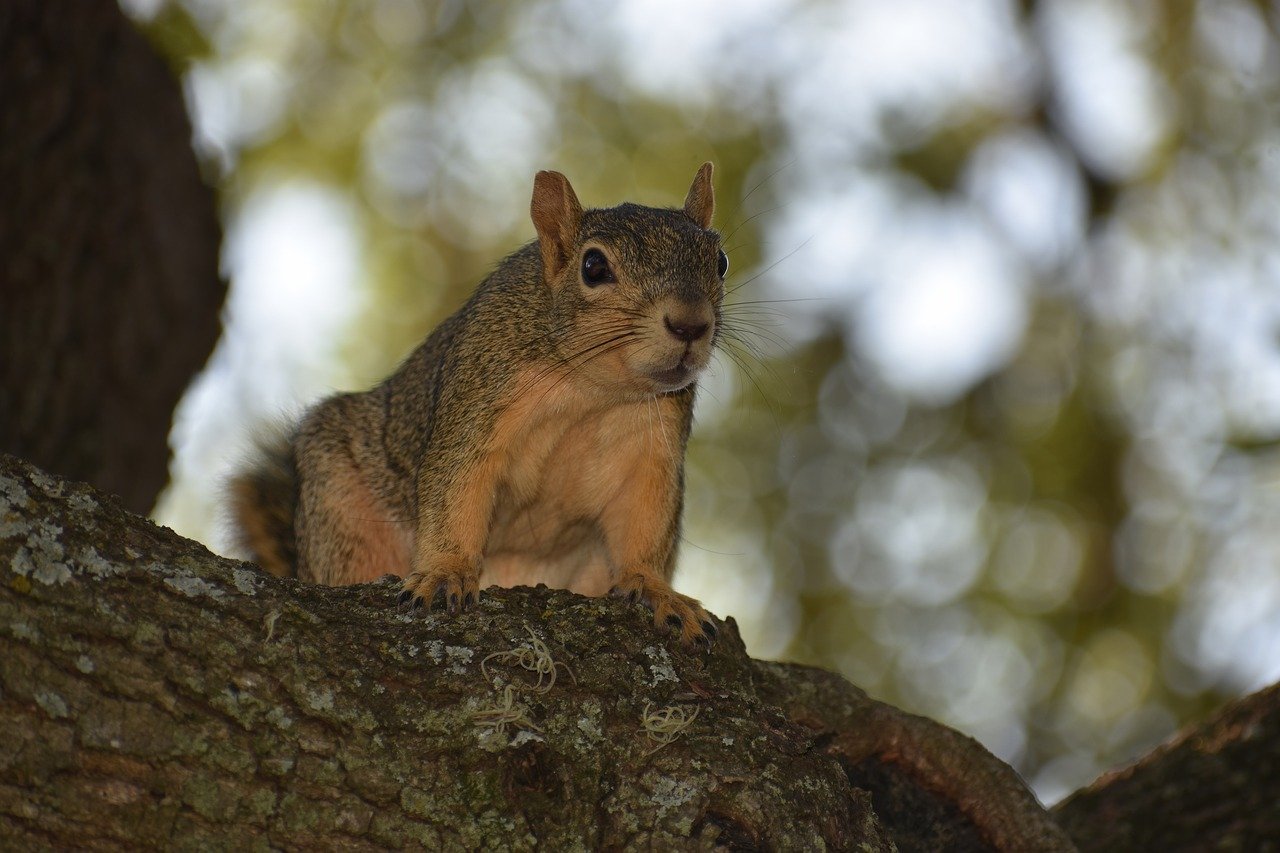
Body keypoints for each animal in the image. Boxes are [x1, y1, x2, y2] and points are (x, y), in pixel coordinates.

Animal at [227, 161, 732, 645]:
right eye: (593, 266)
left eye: (721, 261)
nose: (690, 324)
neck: (595, 390)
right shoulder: (477, 400)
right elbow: (455, 488)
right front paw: (446, 572)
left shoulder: (653, 450)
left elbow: (645, 524)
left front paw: (657, 591)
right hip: (341, 507)